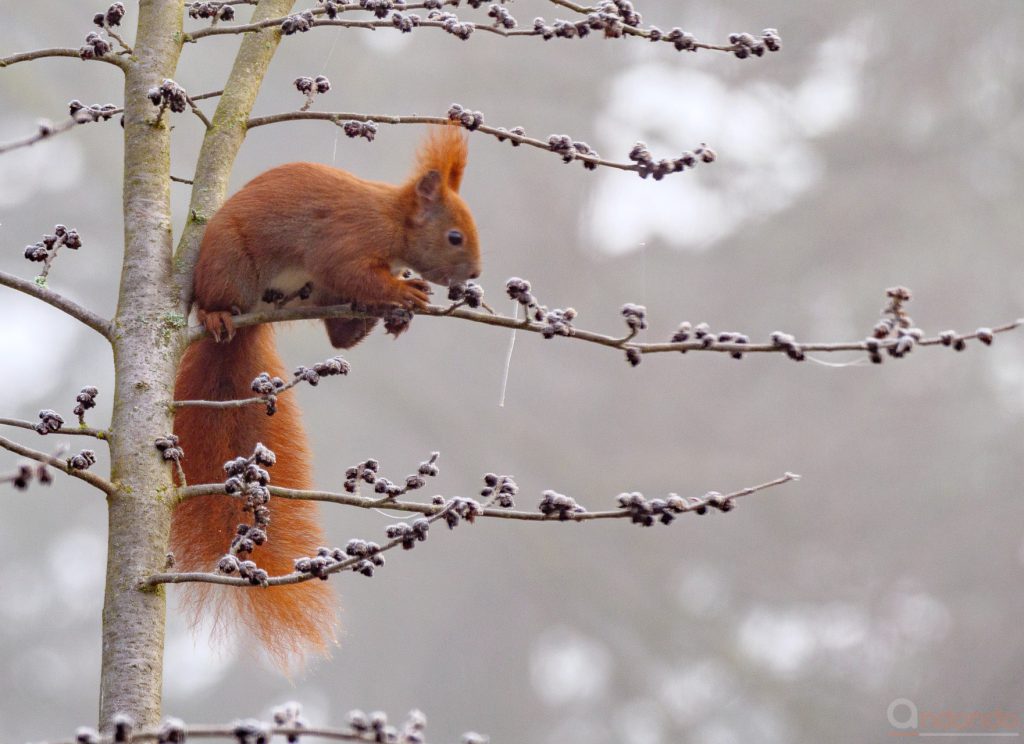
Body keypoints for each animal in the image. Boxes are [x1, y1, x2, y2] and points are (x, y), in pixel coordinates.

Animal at [171, 126, 479, 671]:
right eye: (454, 237)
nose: (477, 275)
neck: (391, 222)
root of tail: (250, 315)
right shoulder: (347, 242)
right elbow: (356, 272)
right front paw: (403, 292)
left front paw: (407, 290)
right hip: (233, 269)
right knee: (223, 302)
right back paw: (217, 316)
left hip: (314, 293)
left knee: (337, 332)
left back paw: (363, 324)